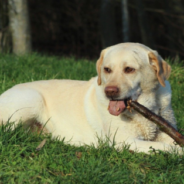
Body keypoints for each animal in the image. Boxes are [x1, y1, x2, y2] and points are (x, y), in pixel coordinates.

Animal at [0, 42, 180, 153]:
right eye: (107, 69)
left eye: (129, 69)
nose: (109, 91)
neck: (149, 108)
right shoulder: (125, 141)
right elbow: (164, 147)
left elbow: (168, 142)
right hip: (32, 99)